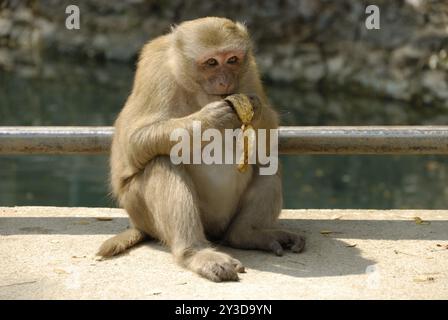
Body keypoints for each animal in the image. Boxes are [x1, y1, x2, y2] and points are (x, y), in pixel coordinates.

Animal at [99, 16, 304, 282]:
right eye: (211, 63)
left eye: (232, 60)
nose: (225, 81)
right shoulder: (156, 72)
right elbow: (134, 141)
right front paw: (211, 119)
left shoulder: (249, 70)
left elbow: (267, 138)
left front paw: (254, 109)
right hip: (141, 210)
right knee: (161, 162)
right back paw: (195, 253)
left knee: (267, 161)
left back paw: (247, 234)